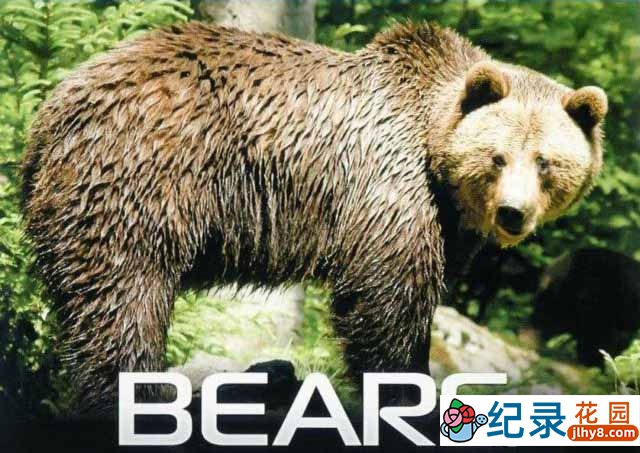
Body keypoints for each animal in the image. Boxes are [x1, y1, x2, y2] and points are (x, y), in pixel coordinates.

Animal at [21, 21, 607, 414]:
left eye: (546, 161)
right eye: (498, 157)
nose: (512, 214)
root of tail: (50, 111)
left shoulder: (445, 224)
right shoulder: (389, 188)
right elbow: (385, 303)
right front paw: (403, 395)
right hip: (139, 179)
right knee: (125, 302)